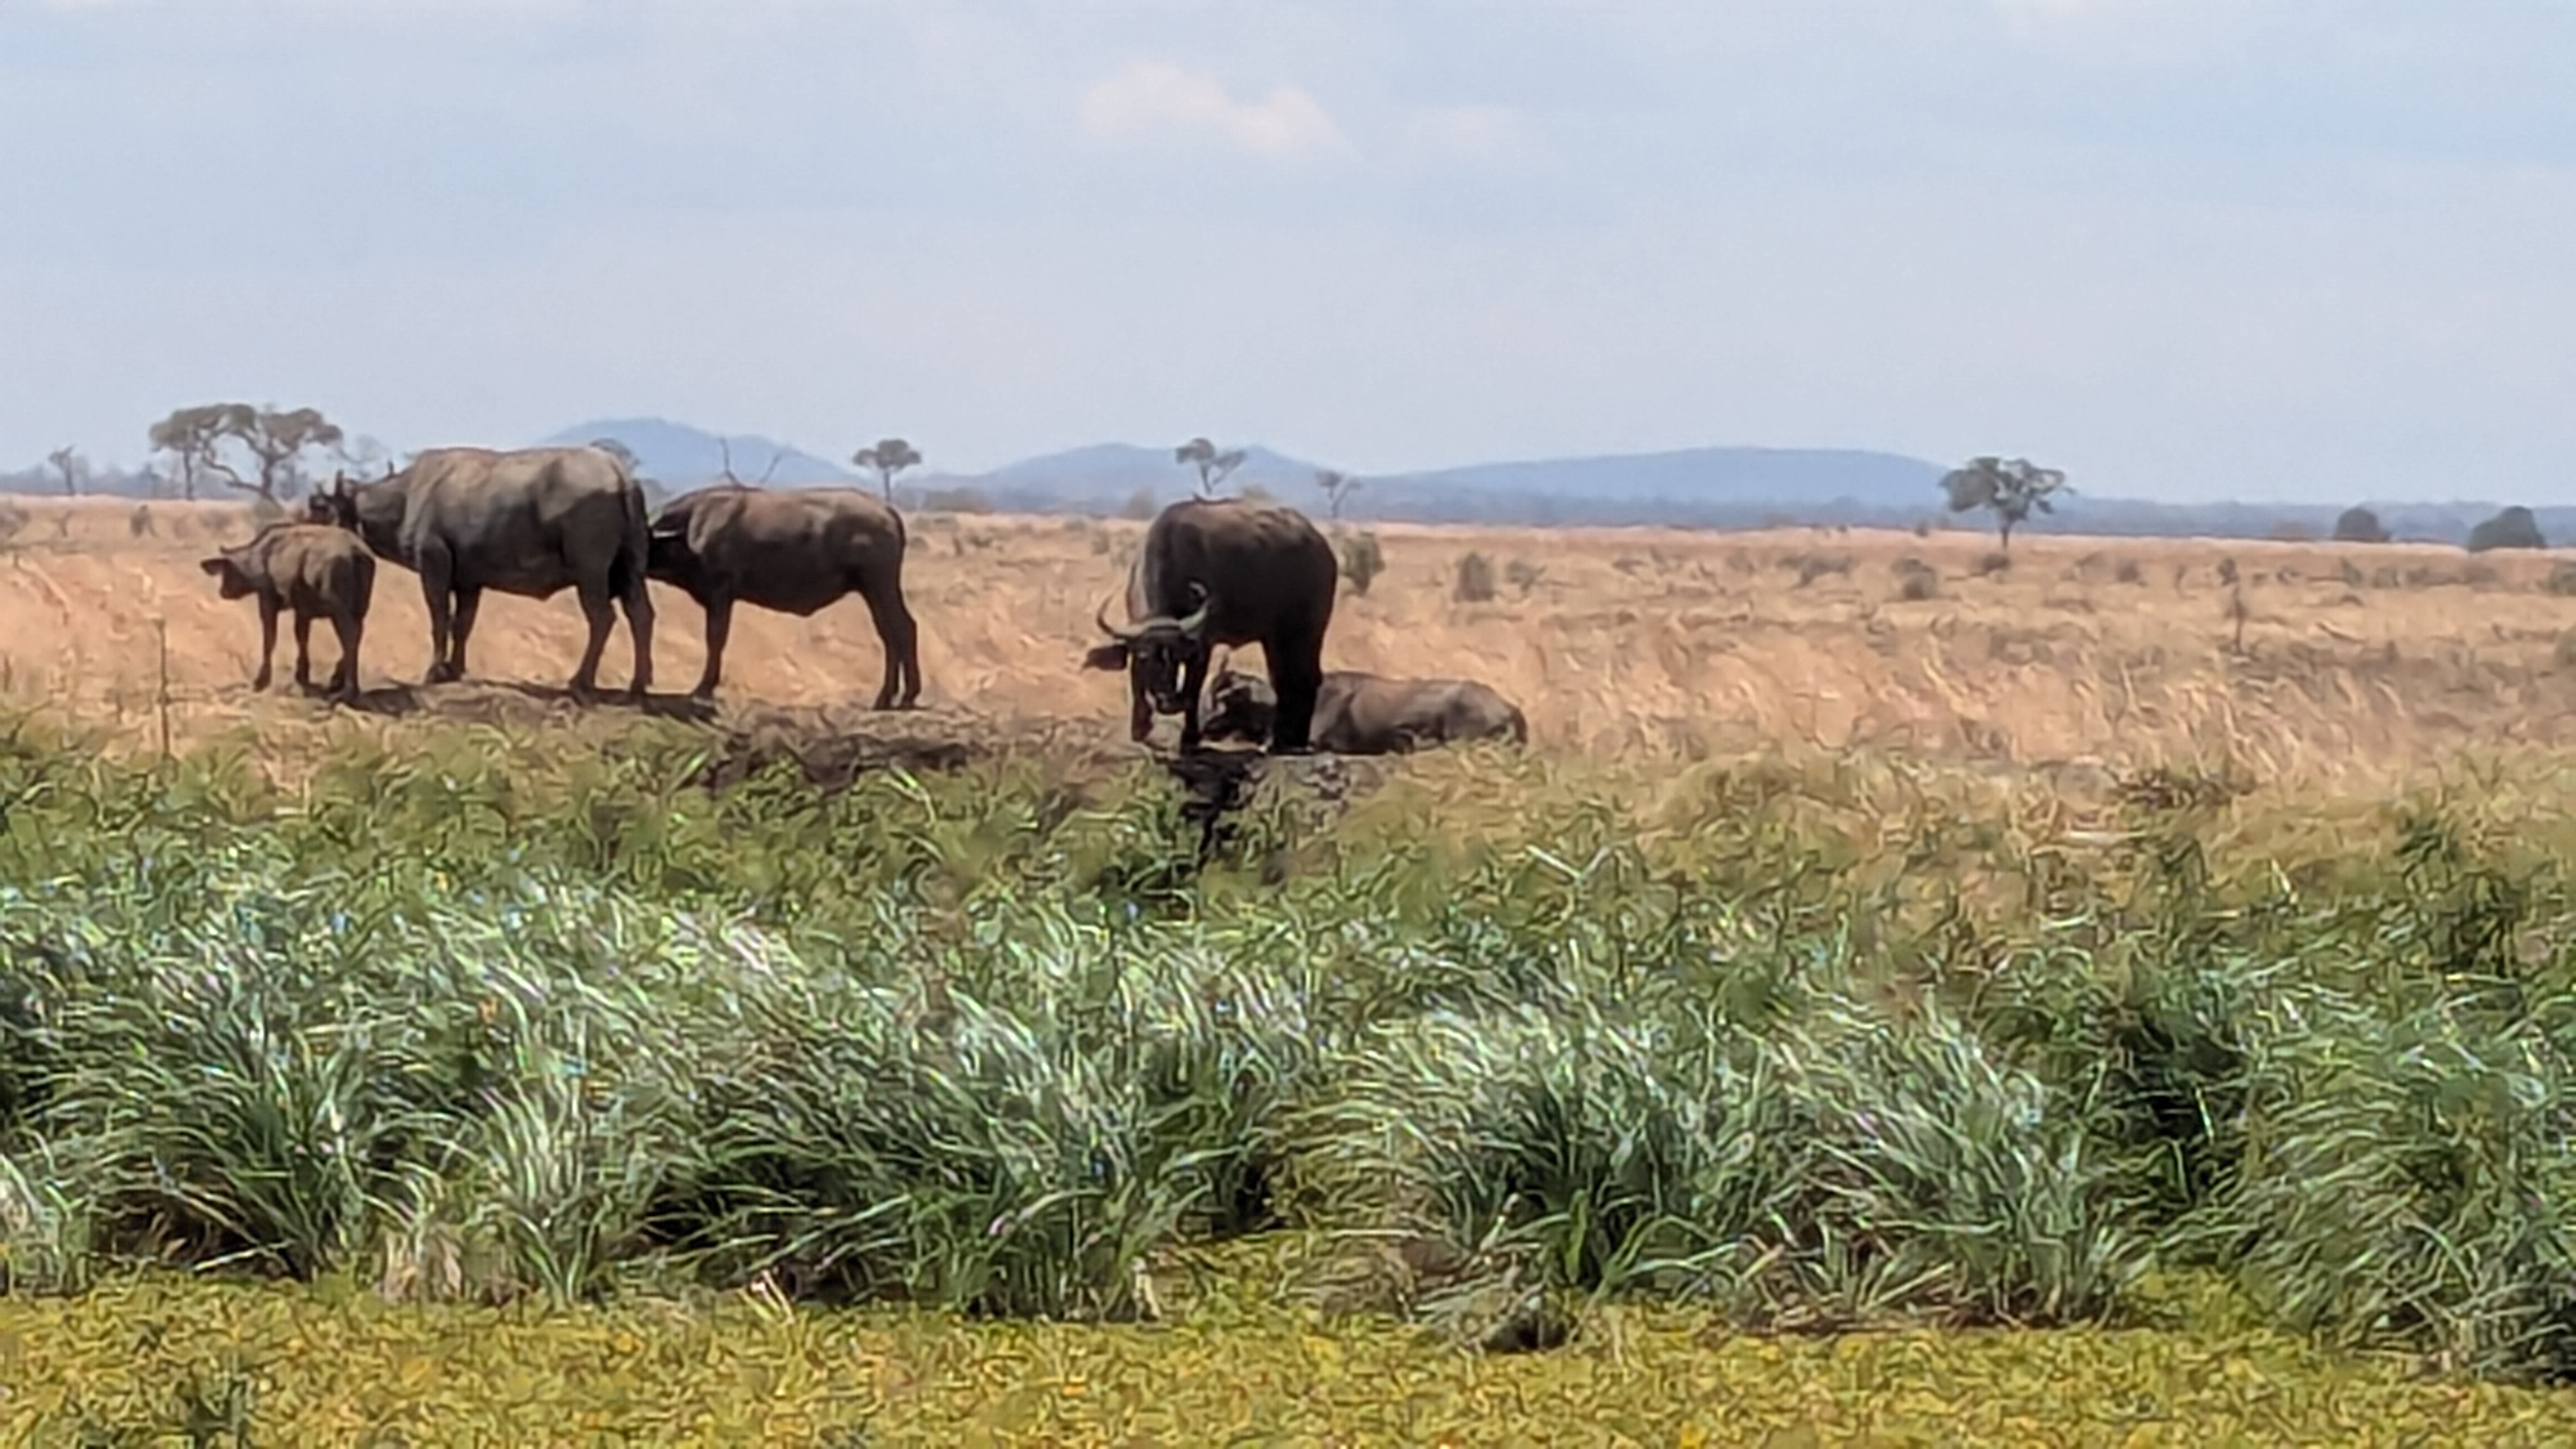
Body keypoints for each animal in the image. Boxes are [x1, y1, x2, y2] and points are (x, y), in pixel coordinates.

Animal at [200, 522, 377, 701]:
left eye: (227, 571)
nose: (223, 592)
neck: (261, 557)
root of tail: (355, 551)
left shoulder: (267, 599)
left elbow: (270, 640)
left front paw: (261, 680)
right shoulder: (303, 610)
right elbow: (302, 637)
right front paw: (302, 674)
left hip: (340, 611)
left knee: (350, 638)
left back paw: (349, 690)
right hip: (360, 609)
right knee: (357, 635)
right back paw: (337, 681)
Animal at [308, 445, 654, 698]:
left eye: (319, 508)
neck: (407, 497)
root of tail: (618, 474)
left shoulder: (434, 567)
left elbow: (440, 619)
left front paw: (435, 671)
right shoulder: (469, 583)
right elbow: (463, 624)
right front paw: (455, 668)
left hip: (590, 574)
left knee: (602, 618)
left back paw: (581, 680)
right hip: (629, 572)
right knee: (641, 615)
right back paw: (638, 683)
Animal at [644, 485, 923, 707]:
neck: (690, 529)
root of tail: (886, 510)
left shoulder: (720, 595)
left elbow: (715, 640)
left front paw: (704, 688)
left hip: (879, 585)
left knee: (902, 628)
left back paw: (903, 695)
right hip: (873, 590)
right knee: (890, 633)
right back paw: (891, 696)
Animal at [1082, 497, 1337, 754]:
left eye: (1178, 657)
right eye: (1145, 657)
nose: (1168, 703)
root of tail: (1321, 547)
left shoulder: (1203, 645)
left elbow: (1194, 688)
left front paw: (1189, 738)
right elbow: (1136, 680)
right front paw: (1140, 728)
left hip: (1307, 631)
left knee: (1305, 677)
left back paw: (1284, 740)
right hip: (1276, 637)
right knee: (1286, 678)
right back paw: (1287, 740)